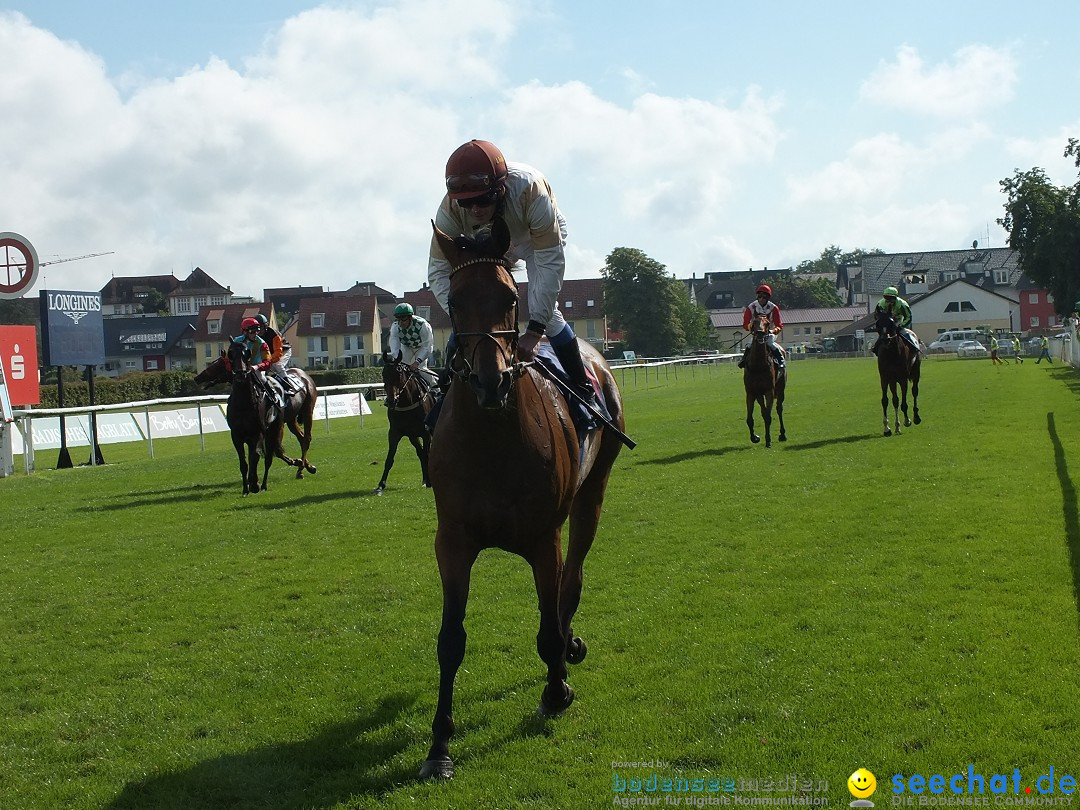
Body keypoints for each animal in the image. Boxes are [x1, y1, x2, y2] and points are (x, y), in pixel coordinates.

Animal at [375, 349, 434, 494]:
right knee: (420, 453)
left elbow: (428, 454)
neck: (407, 402)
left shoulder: (426, 433)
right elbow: (389, 458)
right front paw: (381, 485)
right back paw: (425, 479)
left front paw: (430, 482)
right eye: (384, 374)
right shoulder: (395, 432)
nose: (391, 401)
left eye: (399, 374)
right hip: (413, 436)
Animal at [419, 217, 630, 781]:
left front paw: (556, 691)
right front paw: (439, 744)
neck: (493, 439)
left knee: (571, 583)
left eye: (510, 299)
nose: (490, 383)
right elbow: (450, 641)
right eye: (454, 303)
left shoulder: (542, 539)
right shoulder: (452, 543)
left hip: (591, 495)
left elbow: (550, 623)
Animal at [743, 313, 786, 447]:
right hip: (759, 394)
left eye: (767, 323)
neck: (758, 366)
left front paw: (768, 440)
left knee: (779, 409)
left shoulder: (769, 391)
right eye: (754, 322)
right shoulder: (751, 392)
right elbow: (750, 418)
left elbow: (768, 416)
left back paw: (783, 434)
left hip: (781, 388)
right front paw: (754, 437)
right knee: (763, 409)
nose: (760, 333)